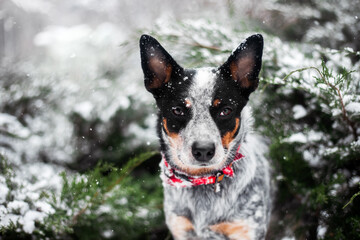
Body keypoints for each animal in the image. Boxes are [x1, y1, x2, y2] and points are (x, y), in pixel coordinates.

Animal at [139, 34, 272, 240]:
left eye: (225, 110)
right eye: (177, 110)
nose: (203, 150)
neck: (203, 180)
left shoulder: (246, 229)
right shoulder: (182, 228)